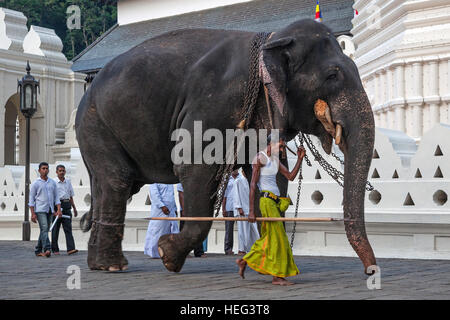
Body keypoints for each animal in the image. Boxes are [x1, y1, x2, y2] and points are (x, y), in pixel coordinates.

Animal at [76, 19, 376, 276]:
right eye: (332, 75)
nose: (370, 271)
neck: (271, 38)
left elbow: (269, 175)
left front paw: (265, 260)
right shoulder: (213, 105)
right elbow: (194, 166)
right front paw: (166, 254)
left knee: (111, 185)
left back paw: (99, 264)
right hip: (96, 124)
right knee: (118, 180)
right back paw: (113, 266)